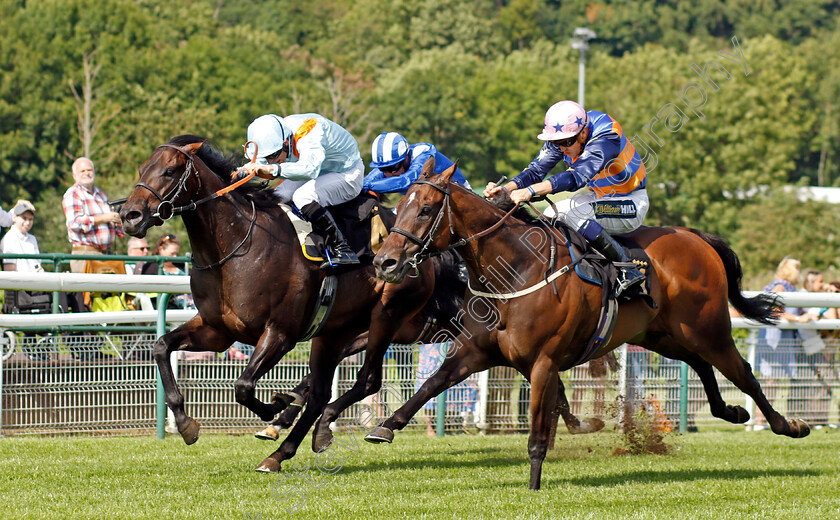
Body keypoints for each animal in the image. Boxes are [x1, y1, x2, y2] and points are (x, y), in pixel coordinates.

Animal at [120, 135, 446, 472]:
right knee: (320, 393)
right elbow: (161, 347)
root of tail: (420, 253)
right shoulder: (217, 331)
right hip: (335, 332)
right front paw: (186, 425)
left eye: (169, 171)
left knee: (370, 381)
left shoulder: (280, 333)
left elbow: (243, 386)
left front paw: (275, 405)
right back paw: (288, 448)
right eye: (143, 169)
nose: (129, 215)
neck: (236, 246)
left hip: (386, 318)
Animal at [366, 160, 808, 490]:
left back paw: (790, 425)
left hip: (709, 329)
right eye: (399, 207)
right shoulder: (475, 352)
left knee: (743, 372)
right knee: (700, 366)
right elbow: (430, 385)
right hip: (662, 335)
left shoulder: (544, 364)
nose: (385, 262)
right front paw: (385, 427)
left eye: (425, 209)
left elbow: (538, 433)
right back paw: (731, 411)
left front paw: (534, 485)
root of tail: (695, 237)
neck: (516, 270)